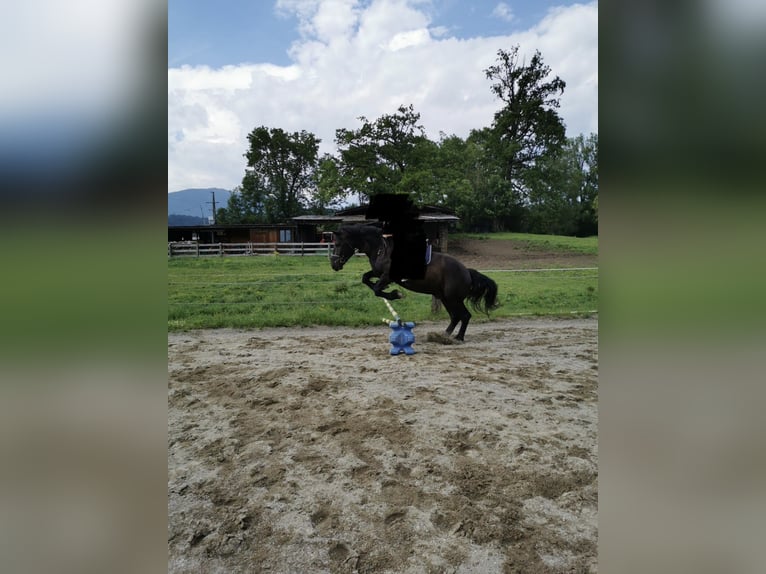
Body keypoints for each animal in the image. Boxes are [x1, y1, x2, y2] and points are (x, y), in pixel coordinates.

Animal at [329, 224, 499, 341]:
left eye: (337, 244)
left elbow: (377, 289)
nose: (334, 265)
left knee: (464, 315)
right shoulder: (379, 273)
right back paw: (444, 335)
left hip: (453, 298)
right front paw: (391, 292)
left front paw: (395, 294)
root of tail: (467, 272)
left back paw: (458, 337)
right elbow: (366, 279)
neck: (380, 249)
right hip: (445, 298)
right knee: (456, 316)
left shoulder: (387, 276)